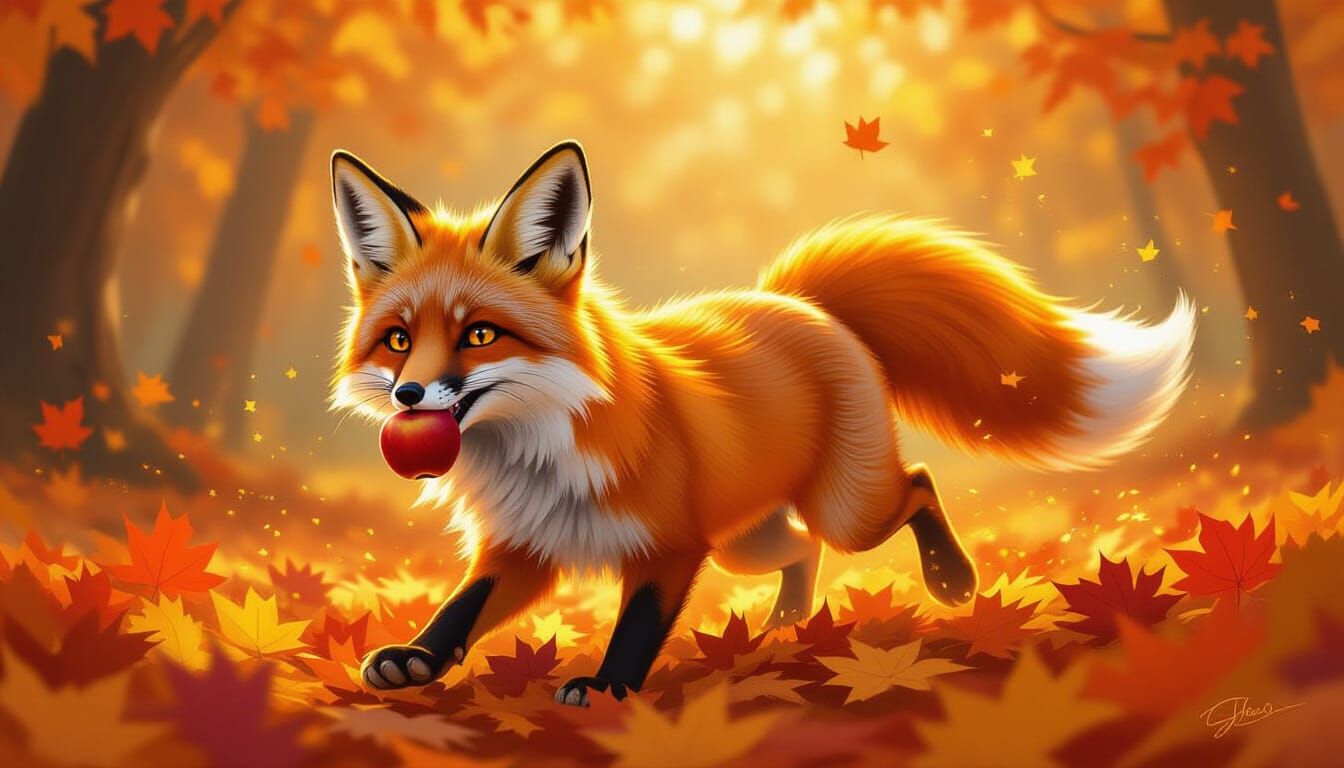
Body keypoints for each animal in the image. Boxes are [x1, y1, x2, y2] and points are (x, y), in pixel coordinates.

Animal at [330, 141, 1195, 707]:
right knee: (803, 549)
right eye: (398, 341)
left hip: (844, 511)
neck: (540, 446)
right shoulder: (526, 544)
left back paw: (950, 579)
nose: (409, 396)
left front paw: (607, 687)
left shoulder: (670, 546)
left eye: (480, 334)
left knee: (914, 486)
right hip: (747, 541)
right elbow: (461, 607)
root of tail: (802, 304)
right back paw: (784, 626)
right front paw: (417, 659)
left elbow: (637, 626)